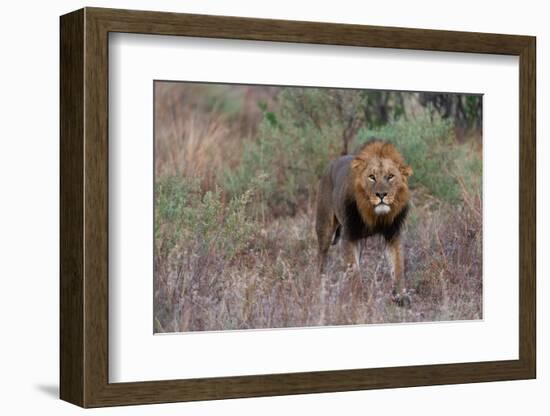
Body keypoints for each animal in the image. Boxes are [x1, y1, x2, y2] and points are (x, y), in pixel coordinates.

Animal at [314, 140, 414, 306]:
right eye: (371, 177)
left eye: (390, 176)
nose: (381, 194)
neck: (375, 215)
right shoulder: (349, 236)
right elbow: (354, 270)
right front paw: (358, 298)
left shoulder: (393, 235)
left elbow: (398, 267)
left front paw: (401, 296)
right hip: (324, 227)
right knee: (321, 258)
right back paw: (319, 289)